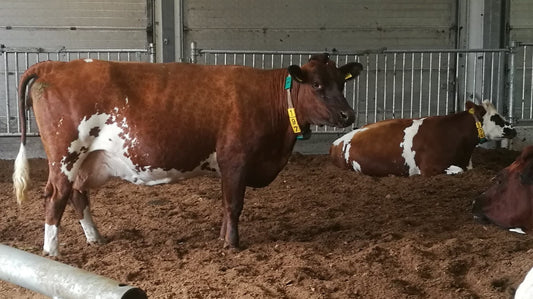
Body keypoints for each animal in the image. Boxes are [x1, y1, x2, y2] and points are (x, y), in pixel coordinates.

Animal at [12, 54, 362, 255]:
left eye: (341, 83)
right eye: (317, 85)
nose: (349, 115)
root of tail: (56, 65)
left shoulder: (230, 166)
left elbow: (225, 204)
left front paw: (222, 238)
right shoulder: (236, 158)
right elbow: (234, 204)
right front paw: (232, 244)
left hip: (86, 160)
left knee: (77, 194)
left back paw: (95, 238)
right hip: (66, 154)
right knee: (55, 195)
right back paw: (52, 251)